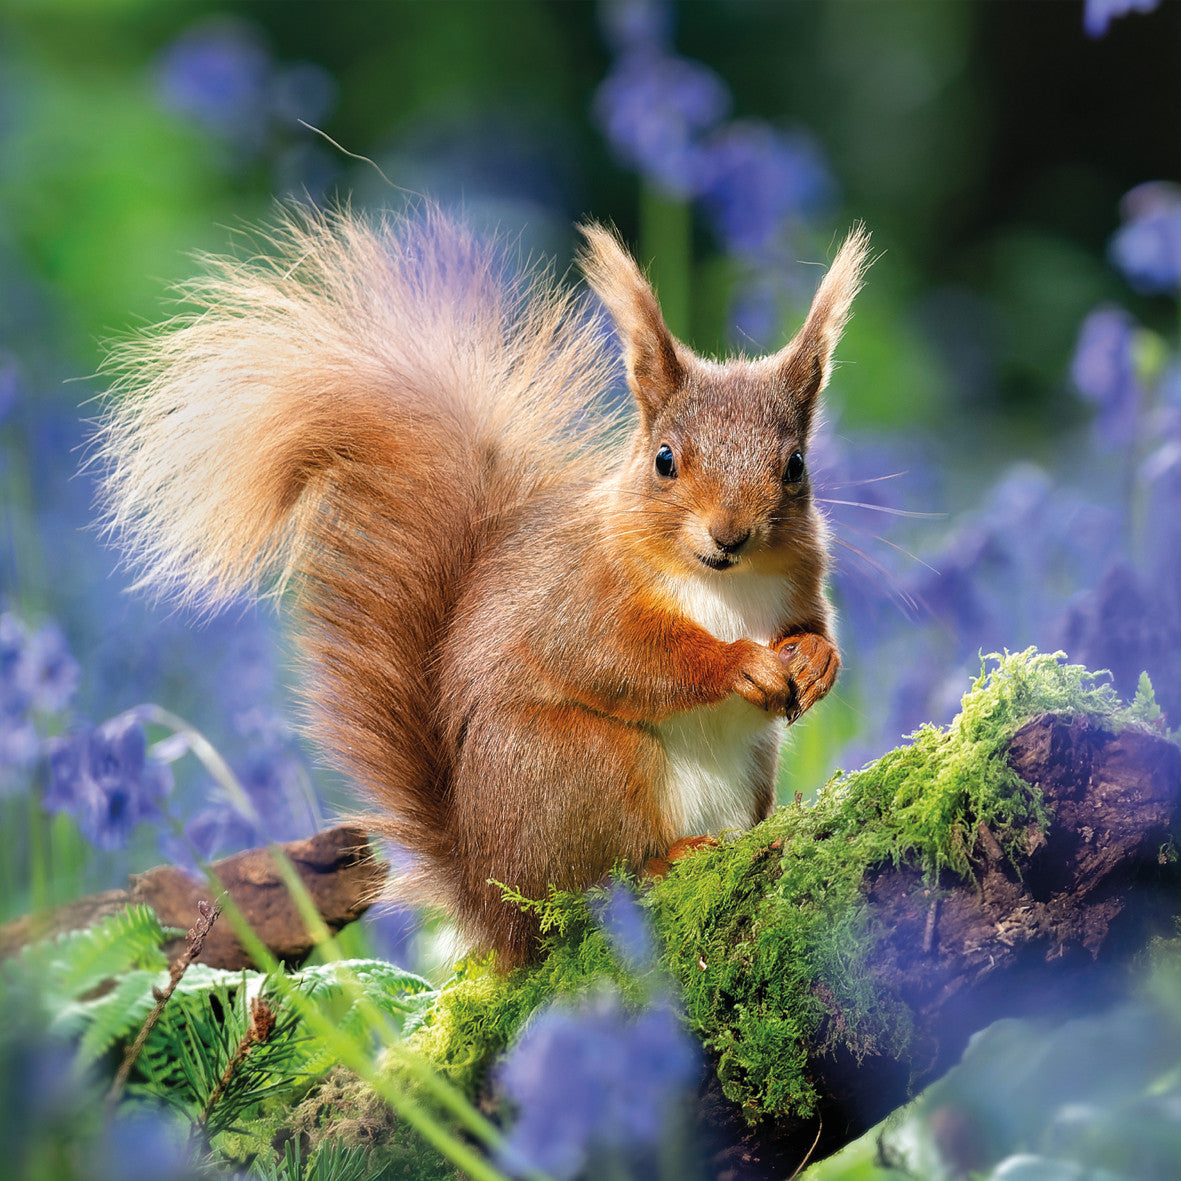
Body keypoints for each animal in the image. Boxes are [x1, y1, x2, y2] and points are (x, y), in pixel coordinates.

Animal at [98, 206, 870, 968]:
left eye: (795, 465)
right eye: (664, 460)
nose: (729, 535)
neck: (725, 584)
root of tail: (491, 902)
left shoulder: (801, 581)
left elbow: (811, 623)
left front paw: (815, 660)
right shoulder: (580, 597)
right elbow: (625, 658)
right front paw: (739, 663)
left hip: (744, 768)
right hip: (577, 766)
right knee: (587, 889)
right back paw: (661, 860)